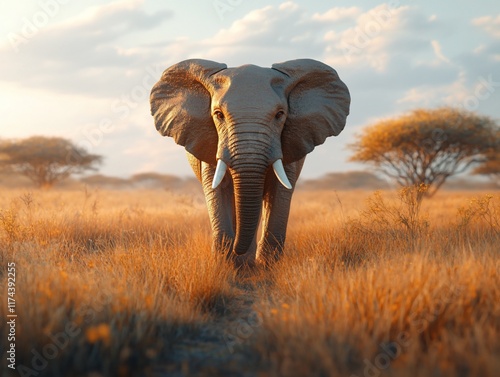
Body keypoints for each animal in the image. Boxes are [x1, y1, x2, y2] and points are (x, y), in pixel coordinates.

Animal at [150, 58, 350, 264]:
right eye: (218, 114)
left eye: (280, 114)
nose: (237, 250)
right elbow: (217, 188)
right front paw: (226, 264)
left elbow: (279, 191)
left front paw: (267, 266)